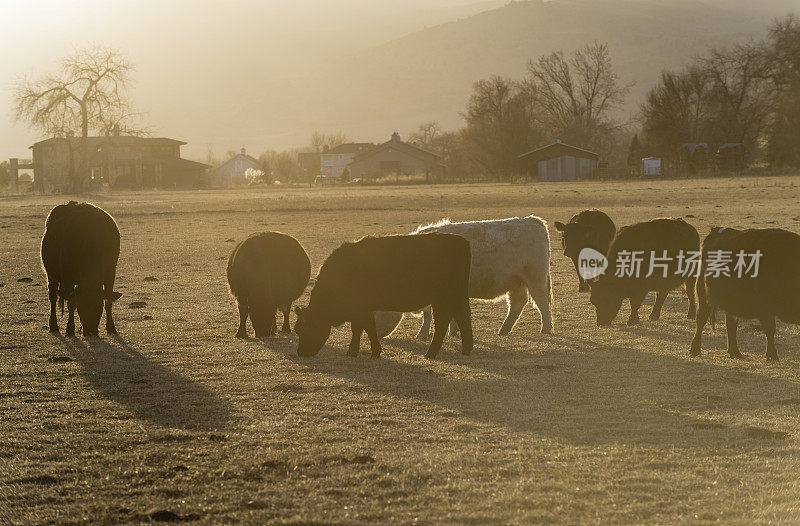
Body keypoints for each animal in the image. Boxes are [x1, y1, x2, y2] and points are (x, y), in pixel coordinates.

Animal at [41, 202, 122, 338]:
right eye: (81, 306)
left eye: (98, 305)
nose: (91, 331)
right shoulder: (67, 278)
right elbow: (71, 303)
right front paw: (70, 329)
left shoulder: (110, 273)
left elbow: (109, 301)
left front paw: (111, 327)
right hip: (51, 275)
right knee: (52, 297)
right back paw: (53, 326)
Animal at [294, 234, 472, 360]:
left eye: (305, 328)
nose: (301, 352)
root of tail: (459, 241)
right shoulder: (360, 311)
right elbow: (358, 329)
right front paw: (353, 351)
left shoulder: (363, 310)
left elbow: (368, 328)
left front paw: (374, 352)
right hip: (458, 297)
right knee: (463, 318)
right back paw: (466, 350)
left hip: (443, 298)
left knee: (443, 323)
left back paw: (430, 354)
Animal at [374, 217, 552, 340]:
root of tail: (533, 221)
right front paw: (452, 331)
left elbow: (428, 314)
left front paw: (423, 334)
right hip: (517, 282)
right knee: (517, 304)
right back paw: (504, 329)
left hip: (535, 279)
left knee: (542, 302)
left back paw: (546, 328)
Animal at [688, 228, 800, 364]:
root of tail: (717, 231)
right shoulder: (765, 309)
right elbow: (770, 330)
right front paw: (772, 355)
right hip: (704, 296)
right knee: (701, 320)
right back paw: (695, 349)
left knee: (730, 324)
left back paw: (734, 352)